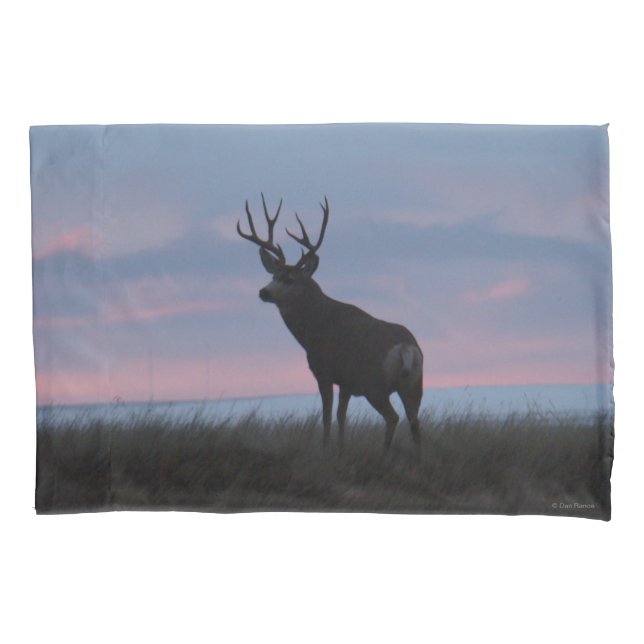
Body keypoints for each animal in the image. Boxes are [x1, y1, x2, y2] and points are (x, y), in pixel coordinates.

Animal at [237, 194, 424, 453]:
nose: (264, 292)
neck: (313, 328)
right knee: (415, 424)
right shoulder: (346, 382)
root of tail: (406, 347)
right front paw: (341, 448)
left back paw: (383, 455)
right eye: (274, 275)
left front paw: (325, 449)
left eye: (290, 279)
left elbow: (326, 416)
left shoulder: (324, 371)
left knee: (393, 417)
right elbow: (341, 416)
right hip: (415, 385)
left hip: (374, 384)